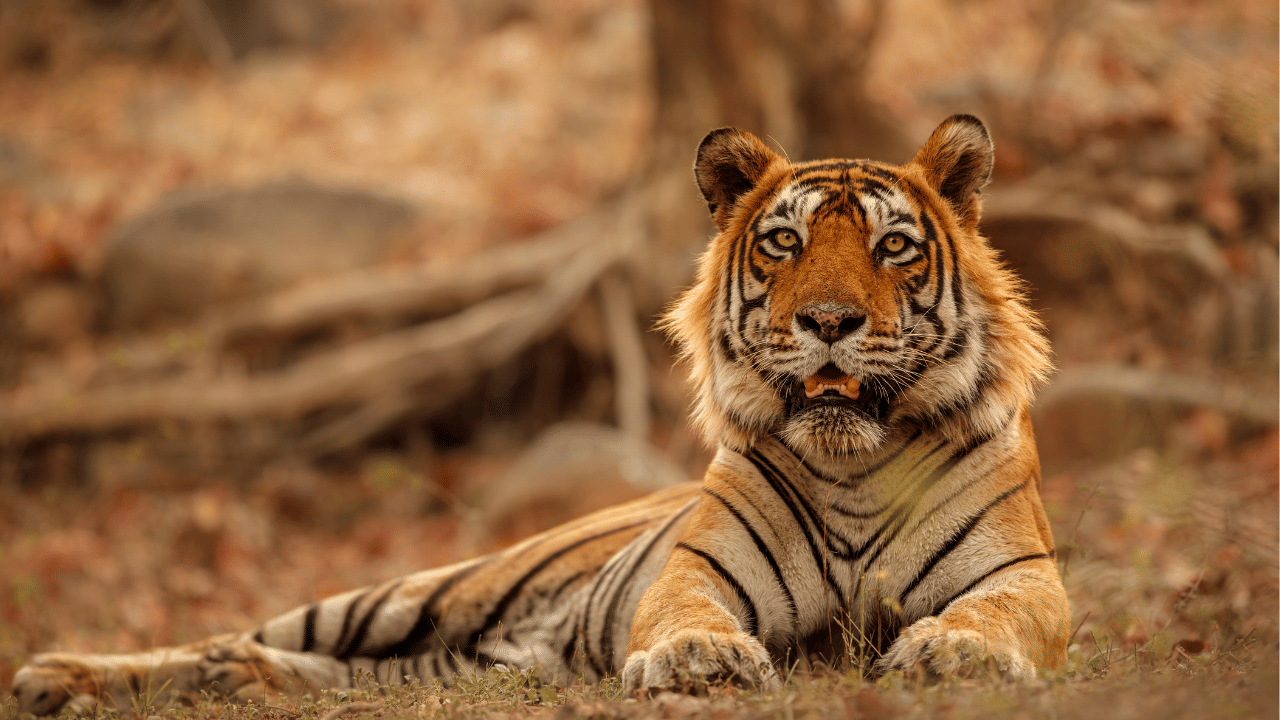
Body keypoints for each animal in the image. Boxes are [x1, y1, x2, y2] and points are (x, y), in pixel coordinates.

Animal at [12, 114, 1070, 715]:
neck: (852, 462)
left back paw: (233, 684)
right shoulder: (693, 571)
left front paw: (956, 651)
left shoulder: (1026, 579)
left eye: (893, 247)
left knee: (317, 672)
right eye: (783, 243)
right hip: (413, 593)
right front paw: (698, 659)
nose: (829, 322)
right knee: (233, 635)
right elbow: (686, 612)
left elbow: (996, 611)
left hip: (451, 660)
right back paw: (59, 676)